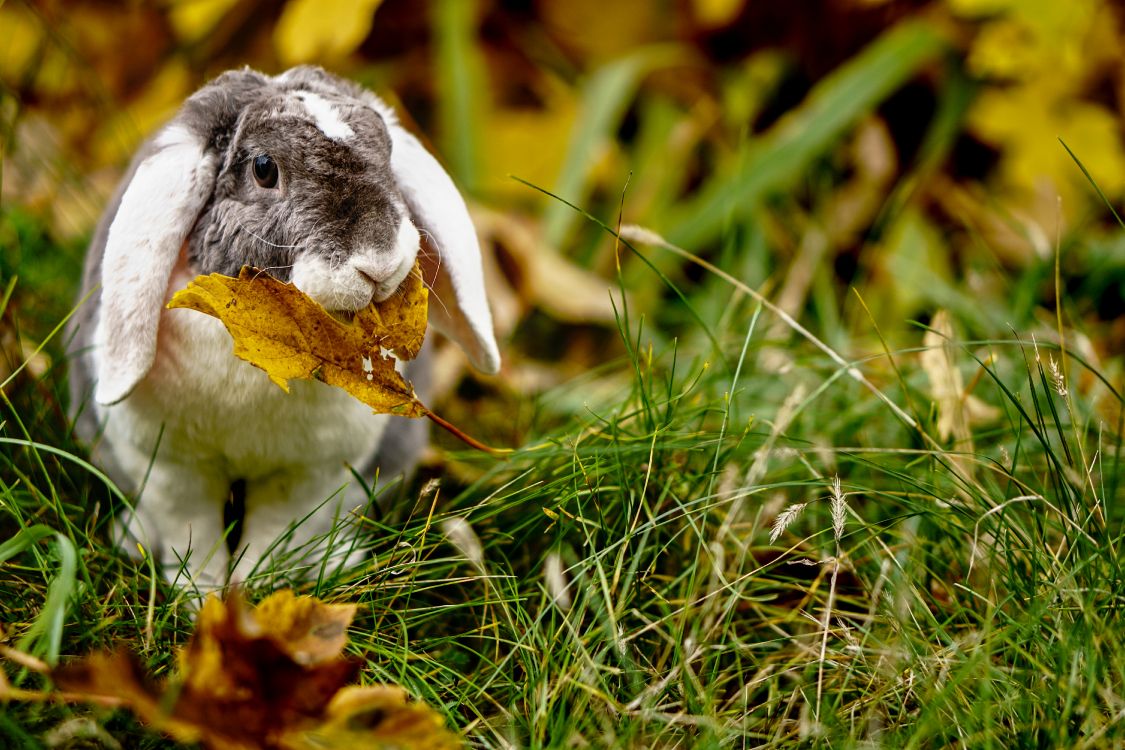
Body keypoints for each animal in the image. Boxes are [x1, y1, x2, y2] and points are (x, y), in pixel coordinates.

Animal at [64, 66, 497, 593]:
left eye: (388, 151)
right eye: (264, 168)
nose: (380, 262)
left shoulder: (313, 473)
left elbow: (278, 535)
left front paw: (254, 588)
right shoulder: (170, 467)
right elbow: (191, 532)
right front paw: (200, 594)